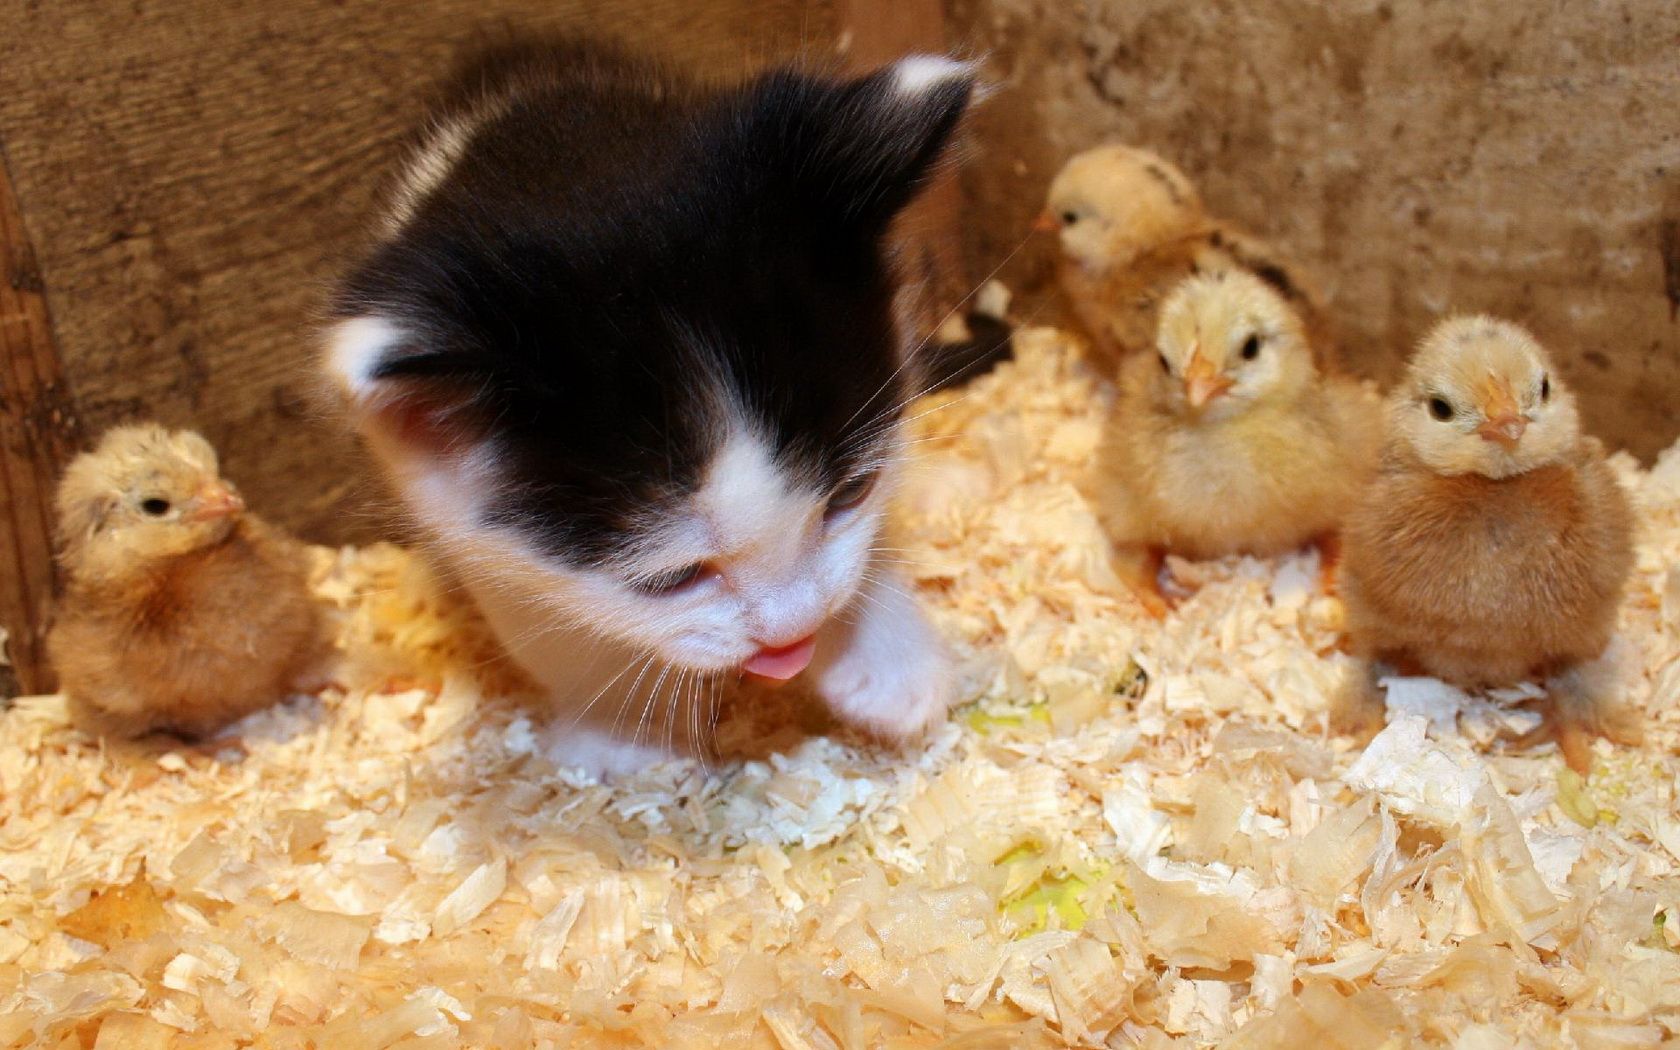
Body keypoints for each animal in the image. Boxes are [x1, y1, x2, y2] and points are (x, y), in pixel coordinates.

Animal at [322, 36, 981, 772]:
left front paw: (887, 658)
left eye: (850, 494)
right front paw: (619, 731)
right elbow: (544, 621)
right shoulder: (444, 504)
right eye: (671, 579)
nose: (791, 637)